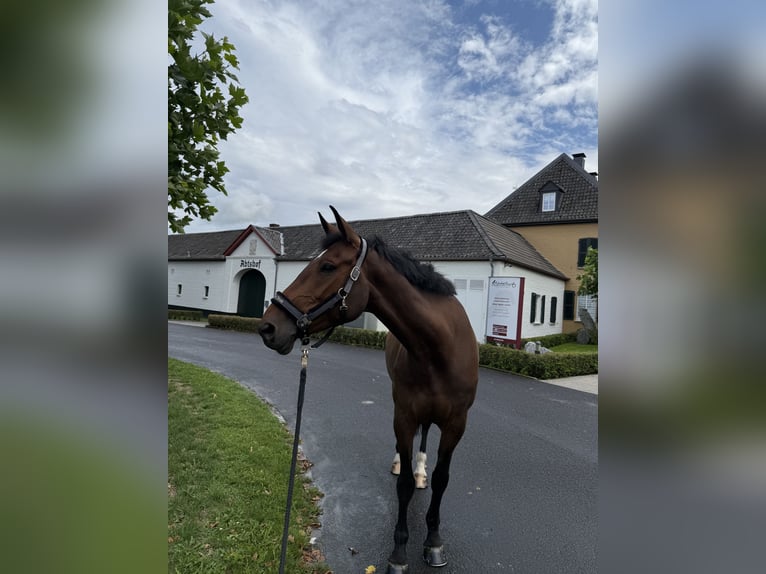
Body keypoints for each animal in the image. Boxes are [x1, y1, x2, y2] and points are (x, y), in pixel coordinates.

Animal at [259, 206, 479, 573]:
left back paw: (419, 468)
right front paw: (399, 553)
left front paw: (433, 541)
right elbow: (403, 486)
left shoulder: (456, 423)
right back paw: (403, 463)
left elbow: (442, 478)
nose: (268, 327)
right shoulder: (404, 414)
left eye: (327, 266)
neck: (438, 350)